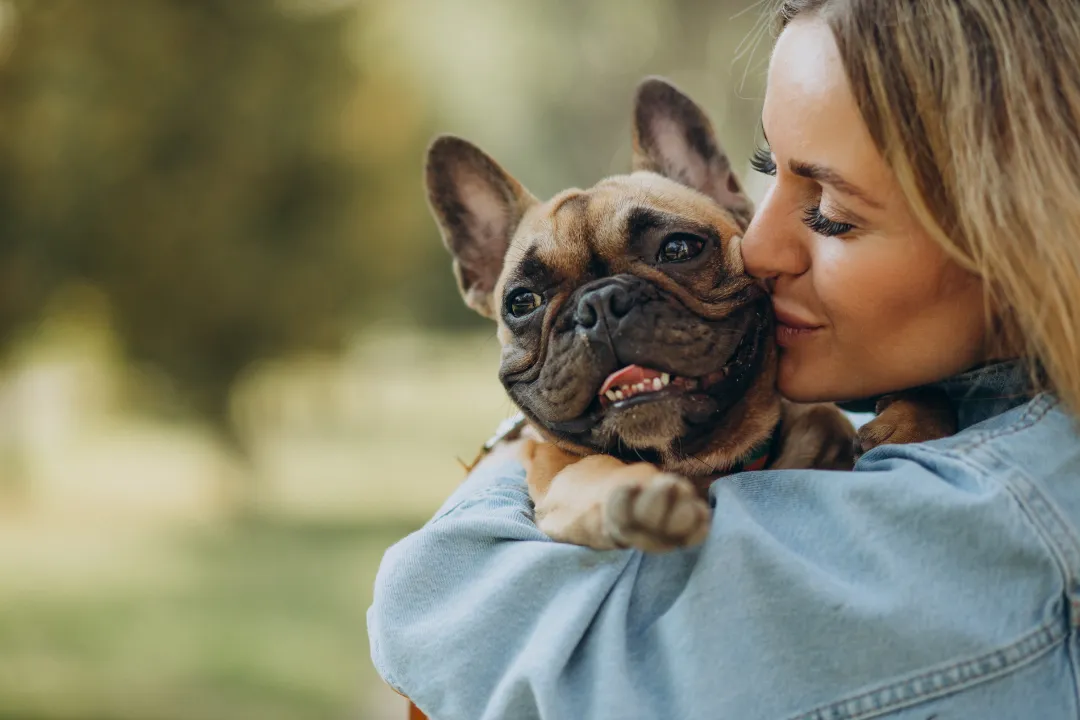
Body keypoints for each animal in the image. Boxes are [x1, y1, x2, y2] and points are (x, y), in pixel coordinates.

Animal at [421, 77, 954, 552]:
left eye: (678, 249)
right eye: (522, 302)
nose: (600, 303)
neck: (694, 466)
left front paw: (913, 422)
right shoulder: (554, 467)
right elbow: (586, 469)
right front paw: (633, 492)